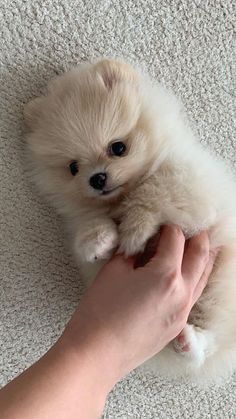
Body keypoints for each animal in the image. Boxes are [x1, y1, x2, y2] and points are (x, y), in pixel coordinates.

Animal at [23, 59, 236, 384]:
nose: (97, 178)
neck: (124, 195)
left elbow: (155, 193)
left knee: (212, 334)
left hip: (222, 285)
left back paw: (192, 342)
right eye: (73, 168)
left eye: (118, 148)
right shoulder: (87, 233)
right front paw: (97, 240)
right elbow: (91, 225)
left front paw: (135, 228)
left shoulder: (192, 184)